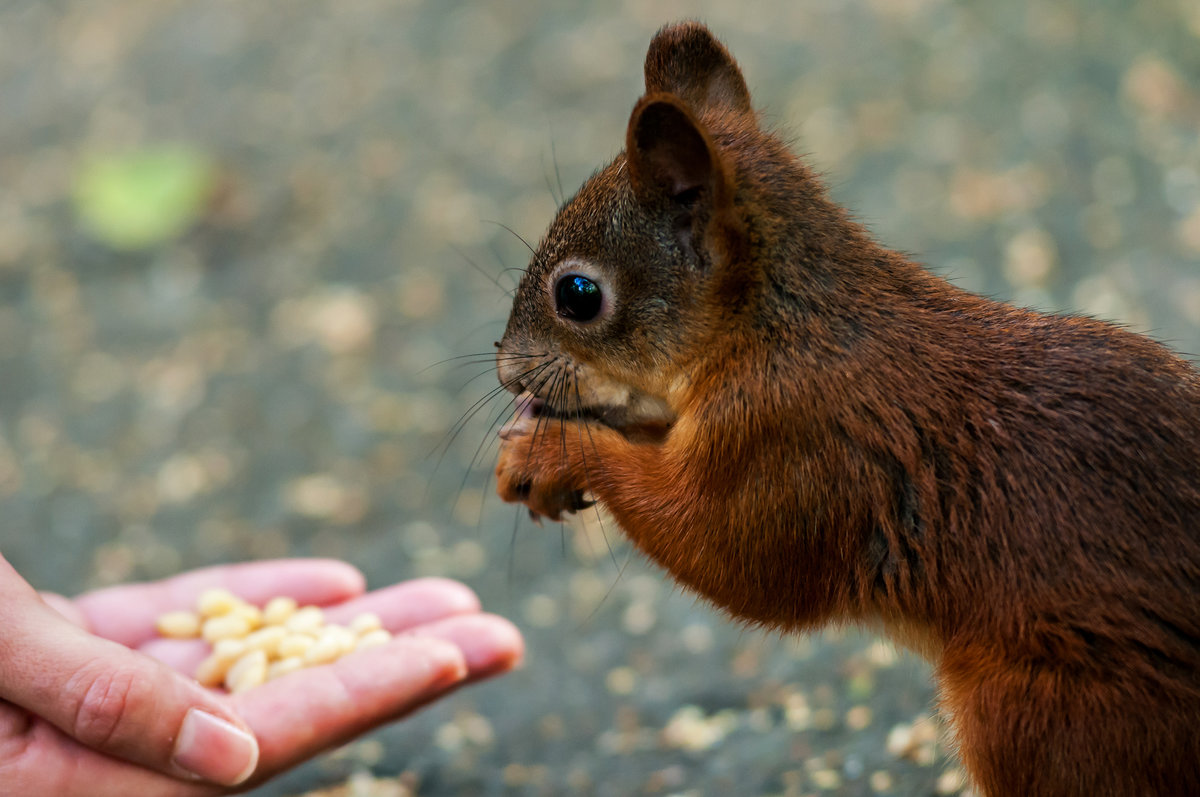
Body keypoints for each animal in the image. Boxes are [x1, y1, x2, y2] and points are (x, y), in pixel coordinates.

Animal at [489, 21, 1200, 792]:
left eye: (578, 295)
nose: (505, 369)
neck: (775, 329)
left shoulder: (792, 442)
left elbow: (719, 549)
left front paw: (550, 452)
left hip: (1036, 712)